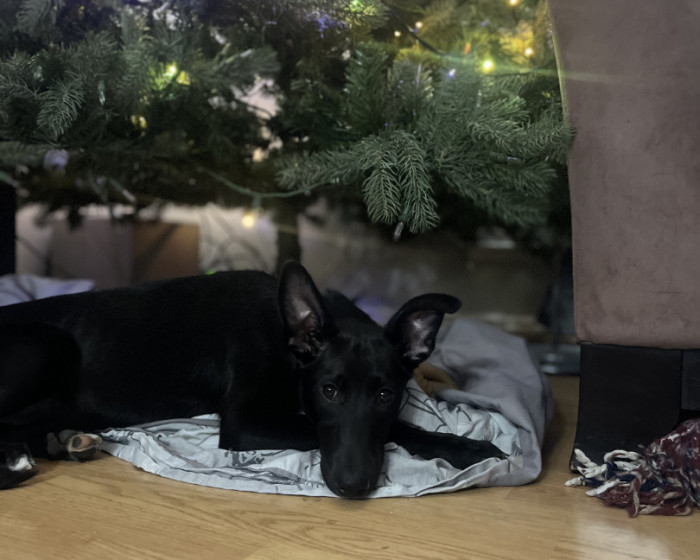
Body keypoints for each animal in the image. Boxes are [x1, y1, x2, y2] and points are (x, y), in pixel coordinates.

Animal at [0, 262, 504, 497]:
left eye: (385, 393)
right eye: (328, 391)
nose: (352, 487)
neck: (285, 338)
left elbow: (394, 425)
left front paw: (465, 448)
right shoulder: (243, 422)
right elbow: (323, 427)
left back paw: (63, 443)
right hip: (50, 345)